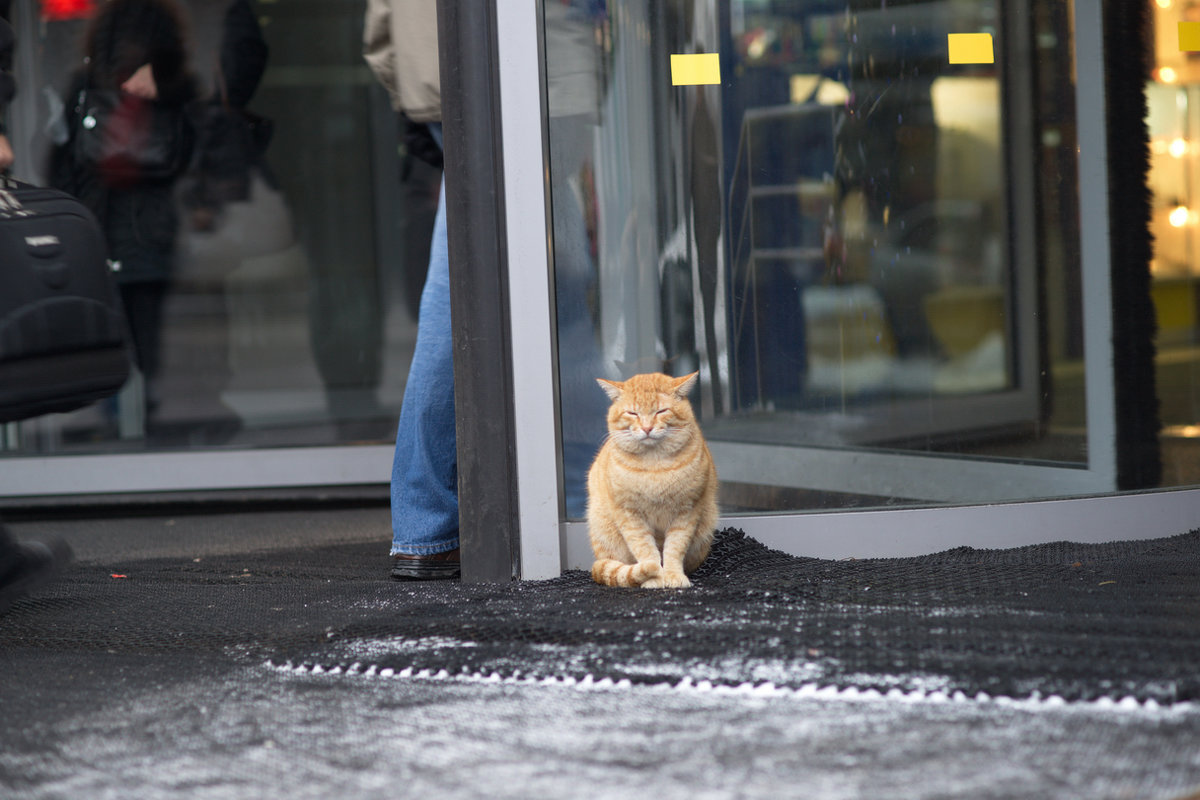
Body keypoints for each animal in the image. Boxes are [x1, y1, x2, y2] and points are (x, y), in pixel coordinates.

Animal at [585, 371, 715, 587]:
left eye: (661, 411)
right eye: (632, 413)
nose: (647, 428)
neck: (654, 465)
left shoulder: (687, 511)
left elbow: (674, 548)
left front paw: (672, 575)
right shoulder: (630, 515)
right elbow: (646, 549)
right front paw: (654, 577)